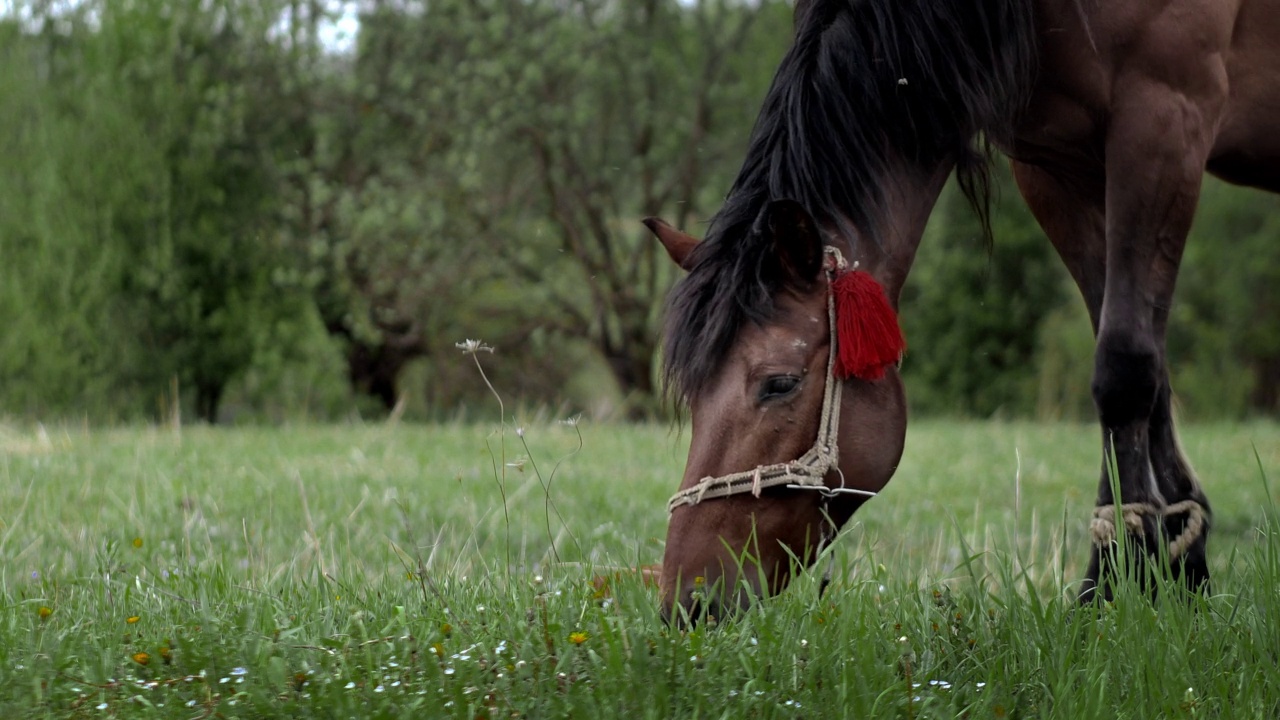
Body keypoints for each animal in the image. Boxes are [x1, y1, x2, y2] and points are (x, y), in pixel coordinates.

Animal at [645, 0, 1280, 620]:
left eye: (779, 383)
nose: (687, 600)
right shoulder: (1056, 167)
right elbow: (1144, 359)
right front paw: (1179, 570)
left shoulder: (1164, 120)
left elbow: (1123, 366)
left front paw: (1112, 581)